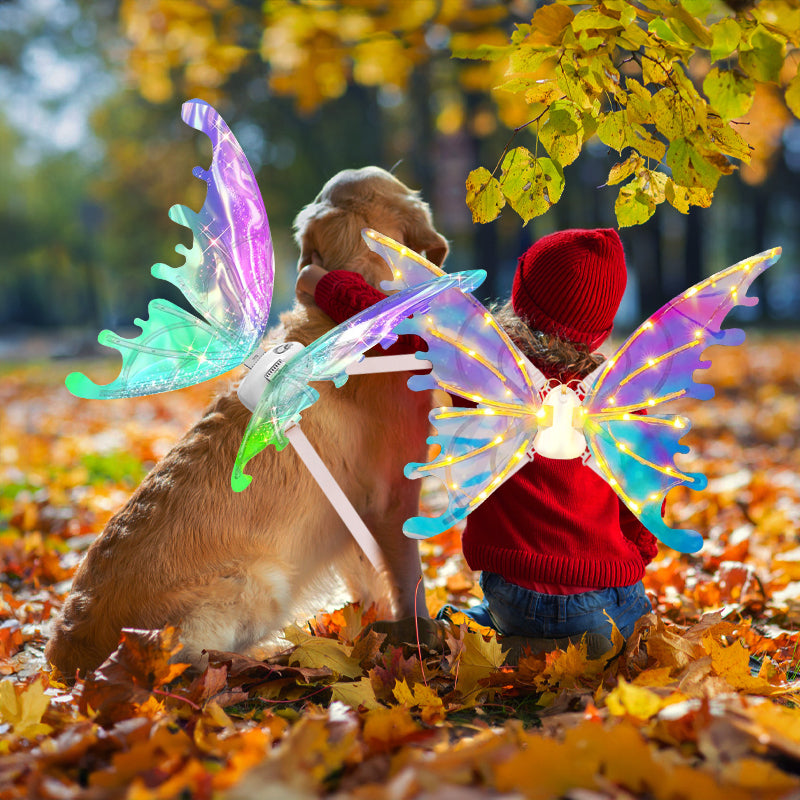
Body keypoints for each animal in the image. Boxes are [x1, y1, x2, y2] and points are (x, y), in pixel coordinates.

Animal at [45, 167, 450, 676]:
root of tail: (65, 654)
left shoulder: (355, 520)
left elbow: (370, 581)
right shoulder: (392, 496)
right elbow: (409, 580)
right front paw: (424, 638)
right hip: (258, 584)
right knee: (204, 663)